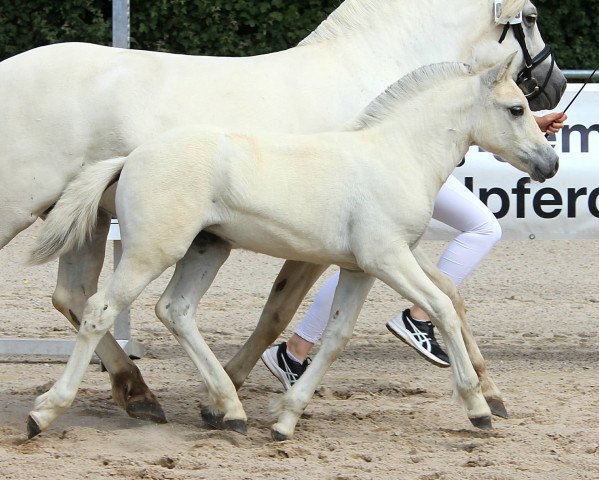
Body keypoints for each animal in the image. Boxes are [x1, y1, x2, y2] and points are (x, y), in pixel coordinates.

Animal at [0, 0, 564, 420]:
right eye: (532, 17)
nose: (556, 86)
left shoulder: (382, 243)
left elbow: (449, 294)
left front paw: (489, 392)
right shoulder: (345, 243)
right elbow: (279, 310)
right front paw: (244, 383)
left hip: (92, 221)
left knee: (75, 296)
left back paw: (137, 392)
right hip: (26, 209)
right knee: (90, 301)